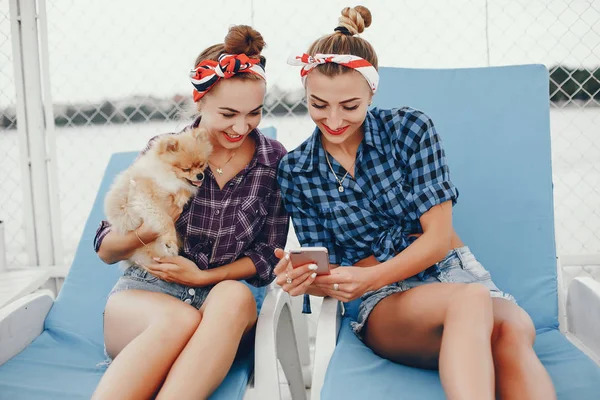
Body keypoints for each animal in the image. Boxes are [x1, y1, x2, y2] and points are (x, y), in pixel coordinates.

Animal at [104, 126, 212, 268]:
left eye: (201, 165)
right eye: (186, 169)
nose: (200, 176)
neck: (164, 172)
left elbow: (186, 188)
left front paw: (181, 197)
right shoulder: (145, 198)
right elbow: (166, 220)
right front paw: (170, 241)